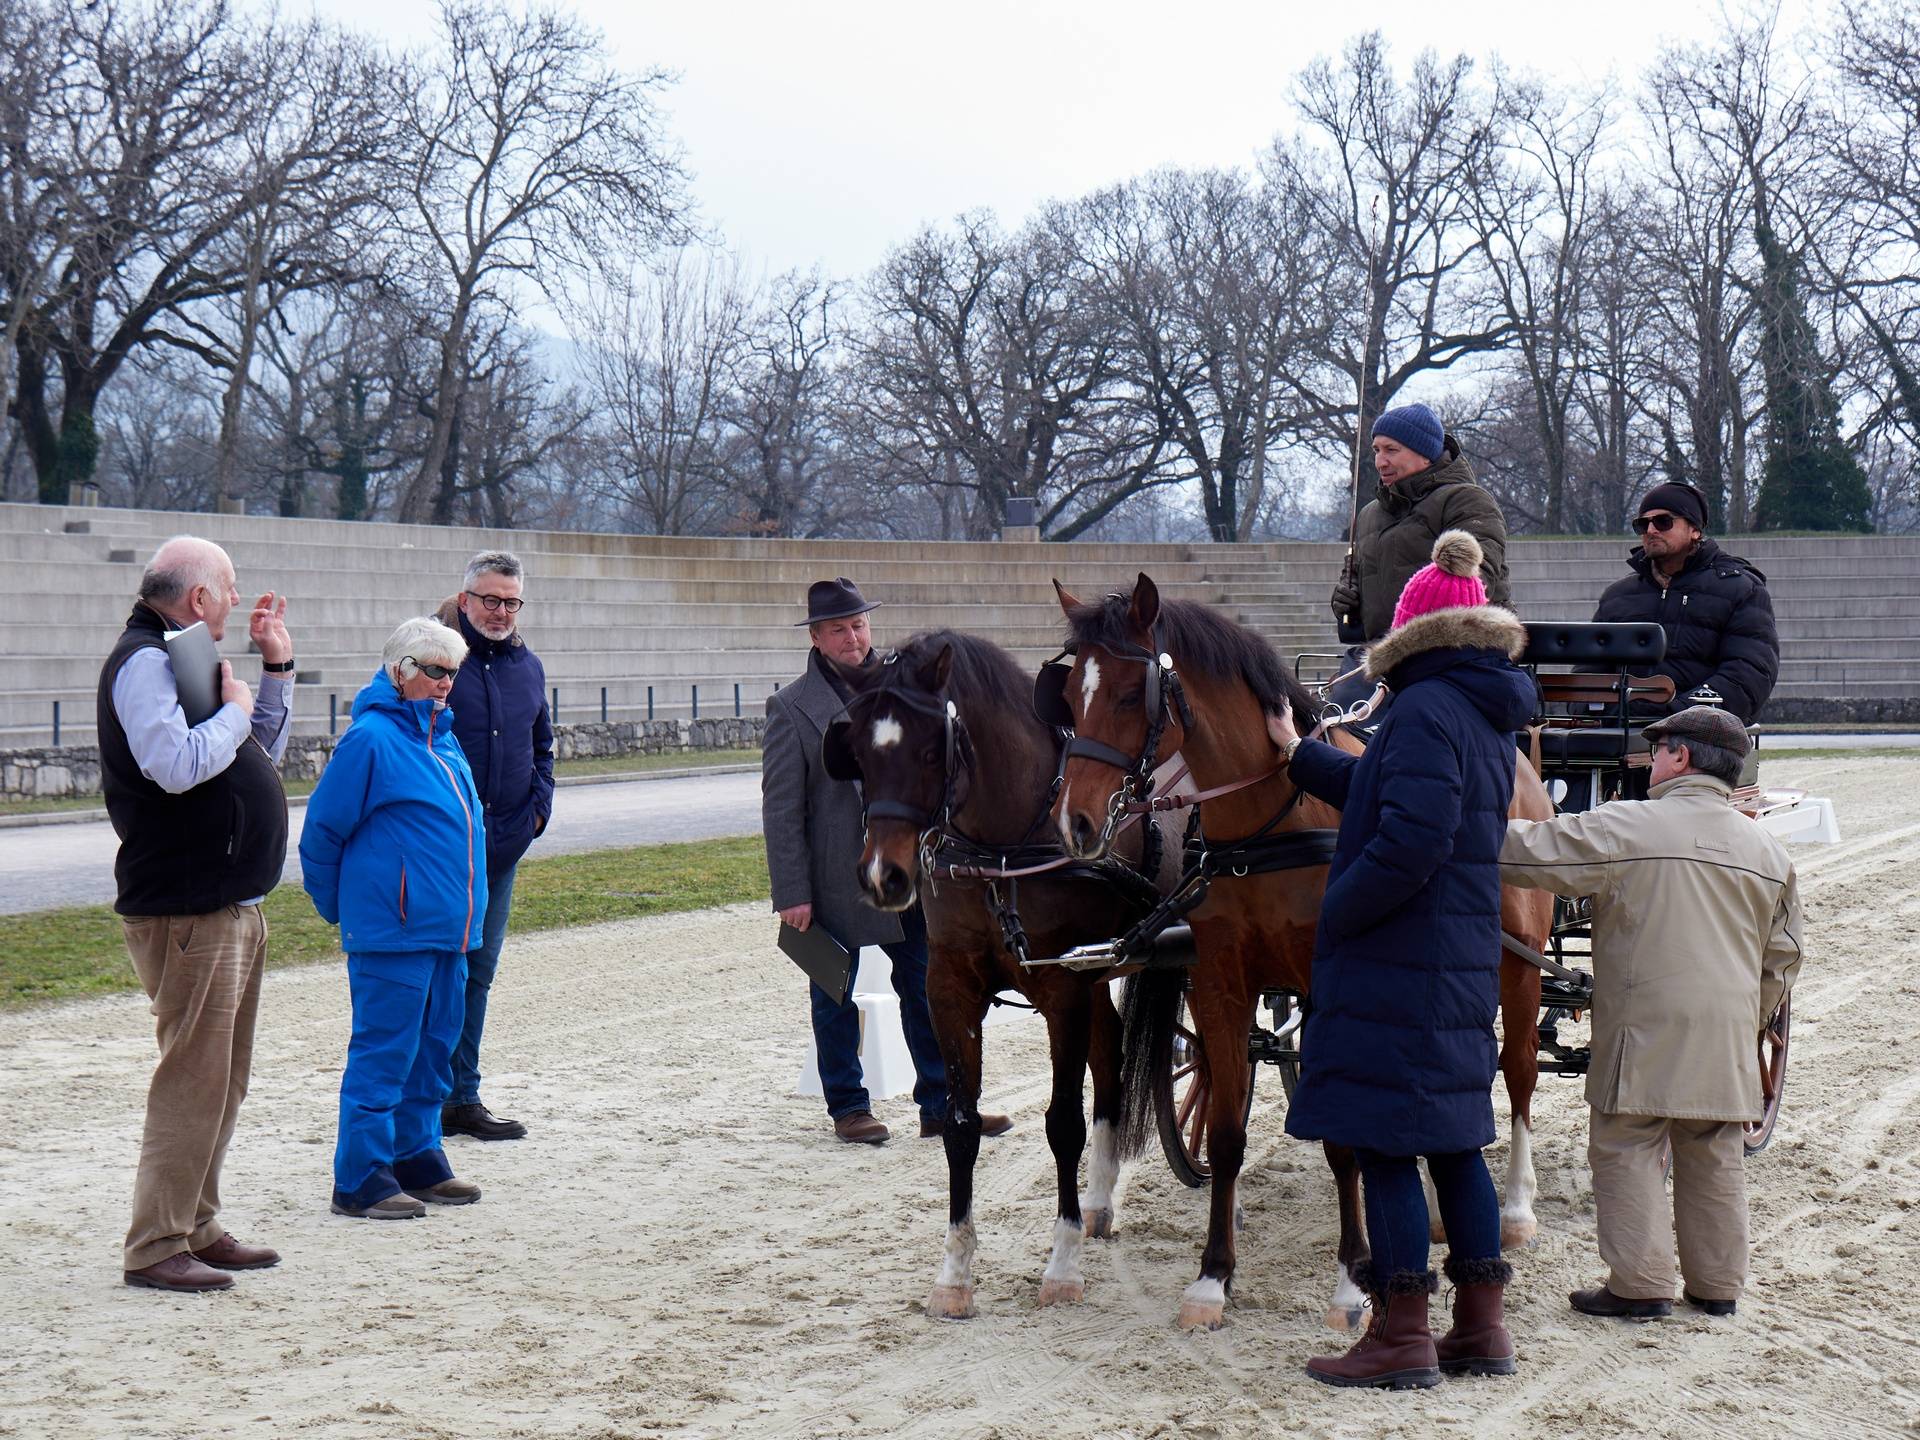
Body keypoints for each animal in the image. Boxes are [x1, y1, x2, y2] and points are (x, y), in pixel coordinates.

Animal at [821, 629, 1183, 1320]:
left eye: (932, 750)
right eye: (857, 754)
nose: (884, 876)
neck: (1006, 849)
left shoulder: (1063, 989)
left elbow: (1062, 1124)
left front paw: (1062, 1263)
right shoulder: (950, 990)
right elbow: (960, 1126)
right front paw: (955, 1274)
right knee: (1111, 1051)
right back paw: (1099, 1202)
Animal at [1047, 574, 1556, 1332]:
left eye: (1130, 694)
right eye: (1071, 690)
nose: (1076, 822)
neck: (1274, 818)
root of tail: (1523, 762)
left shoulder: (1326, 989)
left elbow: (1345, 1143)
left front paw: (1351, 1282)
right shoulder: (1218, 985)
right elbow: (1226, 1132)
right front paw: (1213, 1278)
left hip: (1518, 963)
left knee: (1517, 1071)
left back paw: (1516, 1206)